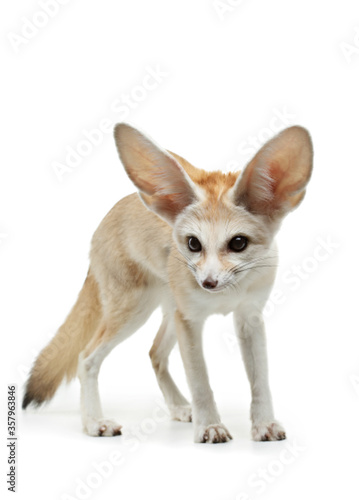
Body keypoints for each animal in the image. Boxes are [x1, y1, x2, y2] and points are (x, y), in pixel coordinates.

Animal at [23, 123, 314, 444]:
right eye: (193, 243)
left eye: (238, 243)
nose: (208, 283)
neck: (225, 295)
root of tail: (112, 213)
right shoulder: (190, 320)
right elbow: (200, 381)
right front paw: (209, 426)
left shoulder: (249, 318)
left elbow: (260, 380)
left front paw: (263, 424)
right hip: (133, 313)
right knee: (85, 357)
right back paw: (94, 422)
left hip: (168, 313)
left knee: (154, 352)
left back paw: (178, 407)